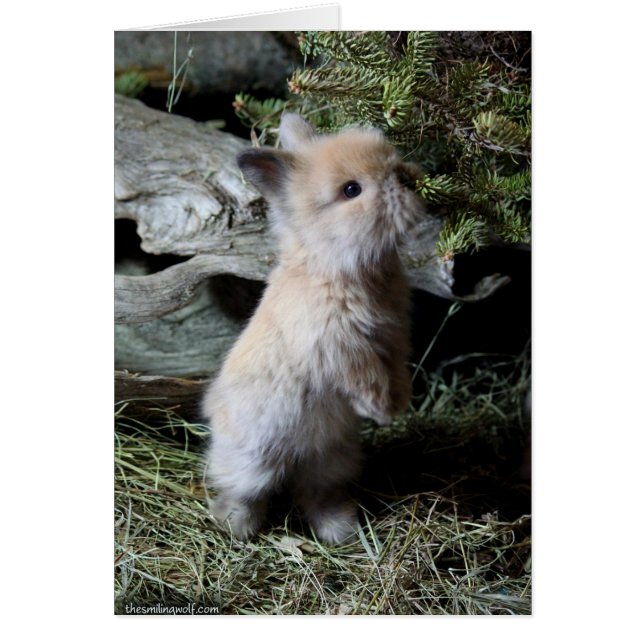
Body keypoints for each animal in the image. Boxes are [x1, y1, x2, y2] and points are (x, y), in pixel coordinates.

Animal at [202, 113, 426, 545]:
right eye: (351, 189)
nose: (408, 179)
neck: (338, 266)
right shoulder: (339, 348)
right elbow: (364, 377)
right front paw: (380, 410)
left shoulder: (394, 338)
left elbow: (394, 369)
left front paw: (398, 404)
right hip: (252, 459)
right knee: (244, 492)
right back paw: (236, 527)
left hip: (334, 457)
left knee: (317, 492)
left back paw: (341, 530)